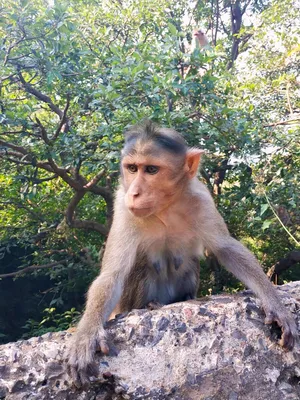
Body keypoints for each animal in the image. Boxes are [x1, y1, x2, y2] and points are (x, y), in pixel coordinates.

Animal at [67, 121, 298, 388]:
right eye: (132, 168)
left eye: (151, 169)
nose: (134, 193)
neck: (165, 206)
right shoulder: (123, 206)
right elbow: (112, 275)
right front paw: (87, 334)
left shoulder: (202, 199)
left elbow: (227, 249)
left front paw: (275, 304)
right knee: (141, 266)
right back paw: (150, 305)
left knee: (188, 264)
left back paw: (184, 298)